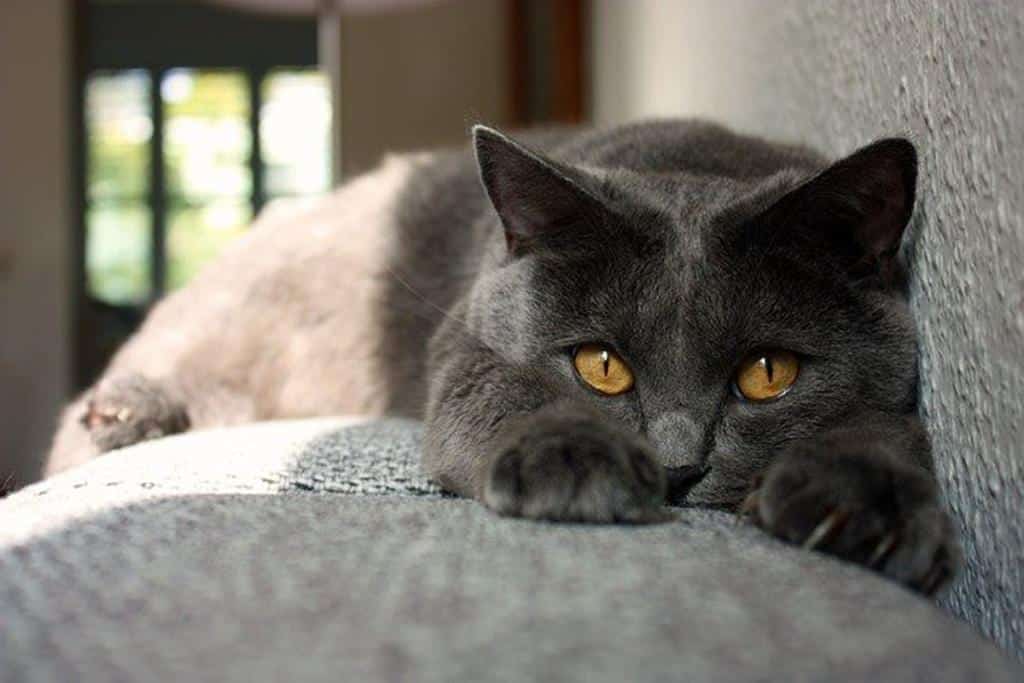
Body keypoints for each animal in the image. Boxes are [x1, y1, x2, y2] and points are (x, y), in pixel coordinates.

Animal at [48, 120, 958, 593]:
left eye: (767, 374)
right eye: (600, 366)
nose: (677, 468)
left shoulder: (886, 392)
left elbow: (883, 424)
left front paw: (863, 503)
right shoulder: (467, 347)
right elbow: (510, 392)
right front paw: (580, 461)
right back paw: (121, 411)